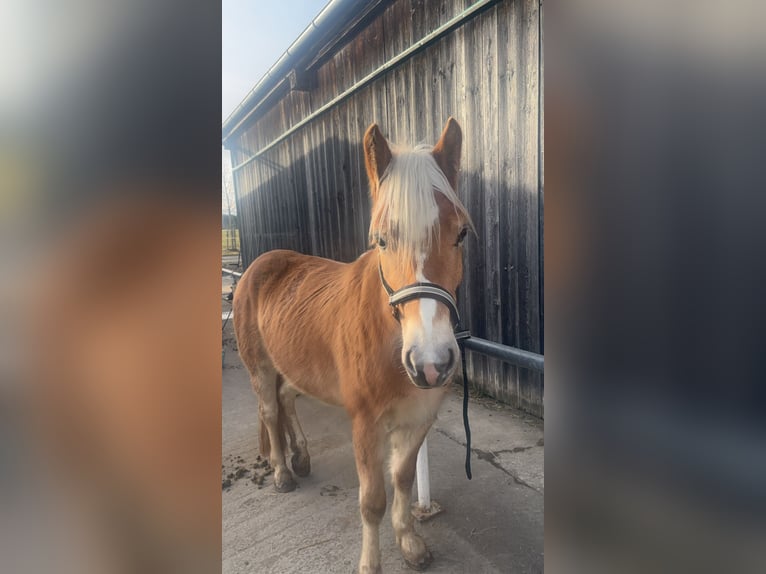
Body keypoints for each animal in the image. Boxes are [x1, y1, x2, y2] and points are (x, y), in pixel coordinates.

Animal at [234, 118, 474, 574]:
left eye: (461, 234)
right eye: (380, 240)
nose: (431, 364)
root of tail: (258, 264)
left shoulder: (417, 420)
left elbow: (402, 480)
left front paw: (410, 543)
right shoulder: (365, 424)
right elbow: (372, 500)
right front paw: (371, 563)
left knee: (287, 399)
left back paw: (301, 457)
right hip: (259, 367)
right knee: (270, 411)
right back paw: (282, 472)